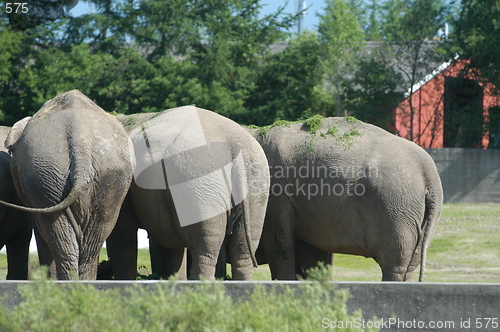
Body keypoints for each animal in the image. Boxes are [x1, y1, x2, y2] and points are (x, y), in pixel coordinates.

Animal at [0, 89, 135, 278]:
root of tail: (80, 145)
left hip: (47, 177)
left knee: (56, 234)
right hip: (106, 177)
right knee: (92, 240)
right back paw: (82, 283)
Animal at [105, 106, 270, 280]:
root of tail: (236, 147)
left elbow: (122, 235)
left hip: (200, 182)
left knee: (206, 249)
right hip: (257, 188)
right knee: (242, 250)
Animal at [252, 116, 444, 280]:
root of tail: (428, 169)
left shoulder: (276, 195)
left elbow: (280, 242)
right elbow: (313, 256)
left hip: (396, 207)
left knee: (395, 262)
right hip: (418, 216)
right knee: (411, 262)